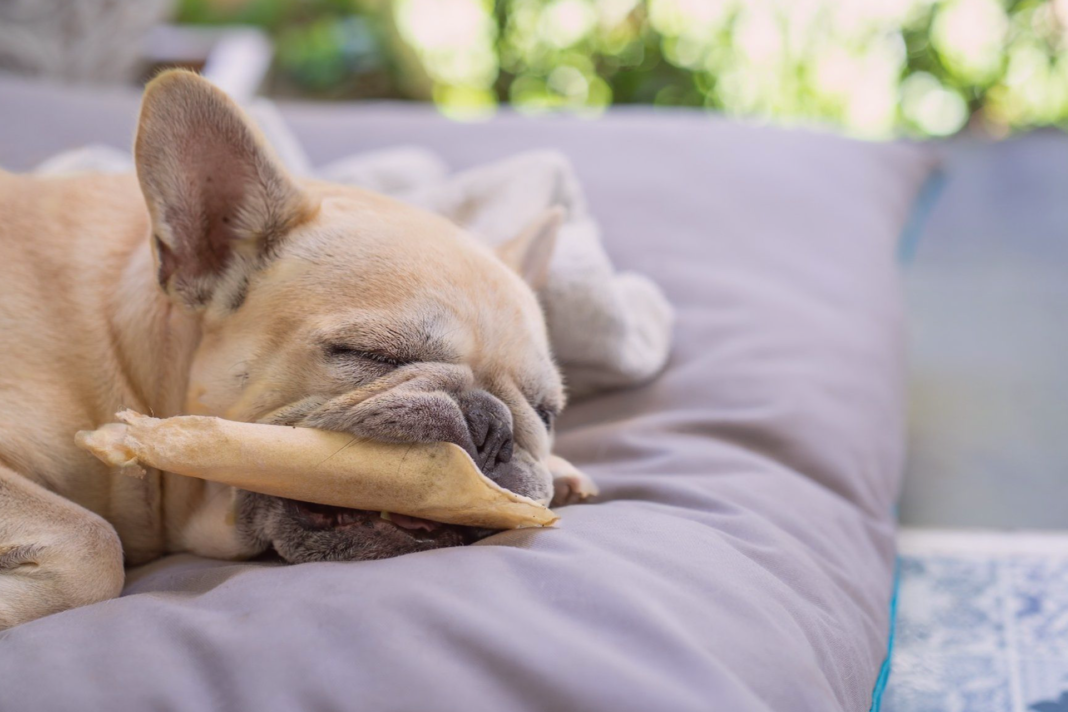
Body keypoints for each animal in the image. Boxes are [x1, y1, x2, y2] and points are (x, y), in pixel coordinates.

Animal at [0, 70, 598, 627]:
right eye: (370, 355)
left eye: (546, 412)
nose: (493, 425)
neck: (130, 352)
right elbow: (93, 539)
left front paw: (562, 470)